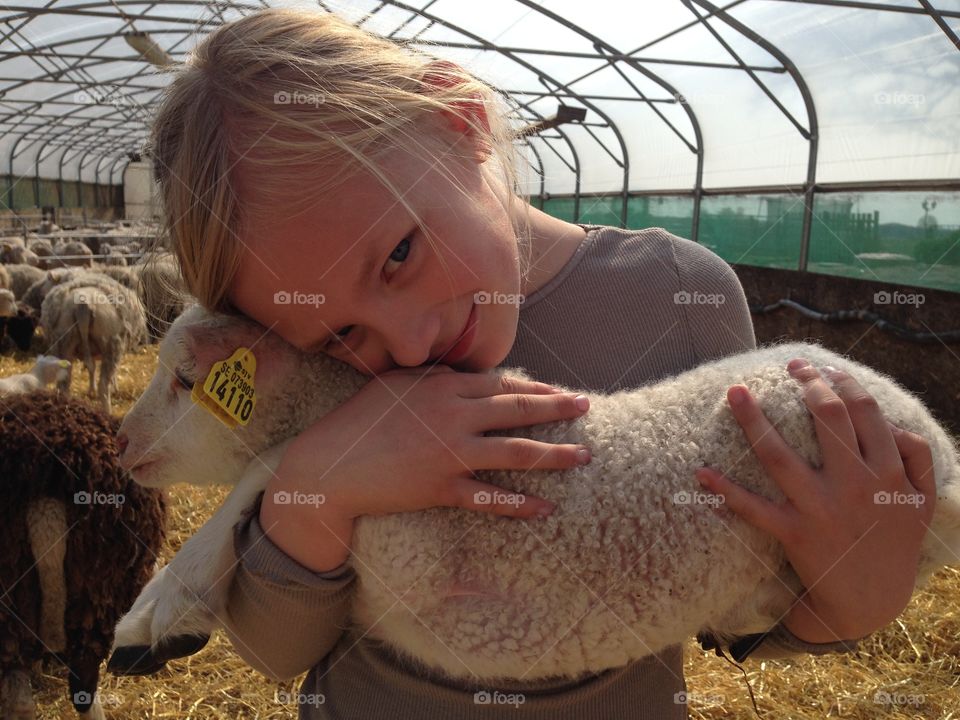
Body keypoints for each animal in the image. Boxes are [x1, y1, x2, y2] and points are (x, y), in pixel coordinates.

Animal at [40, 274, 147, 413]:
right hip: (111, 343)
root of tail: (82, 306)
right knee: (104, 386)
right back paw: (108, 413)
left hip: (64, 342)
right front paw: (114, 388)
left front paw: (91, 390)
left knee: (64, 385)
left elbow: (93, 368)